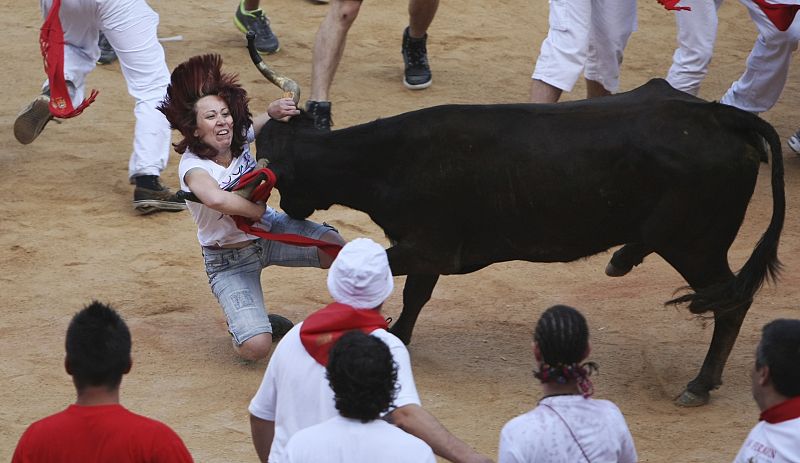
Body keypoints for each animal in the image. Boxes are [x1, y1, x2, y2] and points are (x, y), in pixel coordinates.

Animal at [258, 80, 788, 406]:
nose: (292, 211)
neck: (387, 162)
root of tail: (724, 116)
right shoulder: (427, 253)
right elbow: (415, 297)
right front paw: (399, 338)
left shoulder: (427, 247)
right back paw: (623, 259)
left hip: (695, 244)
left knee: (731, 302)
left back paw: (699, 384)